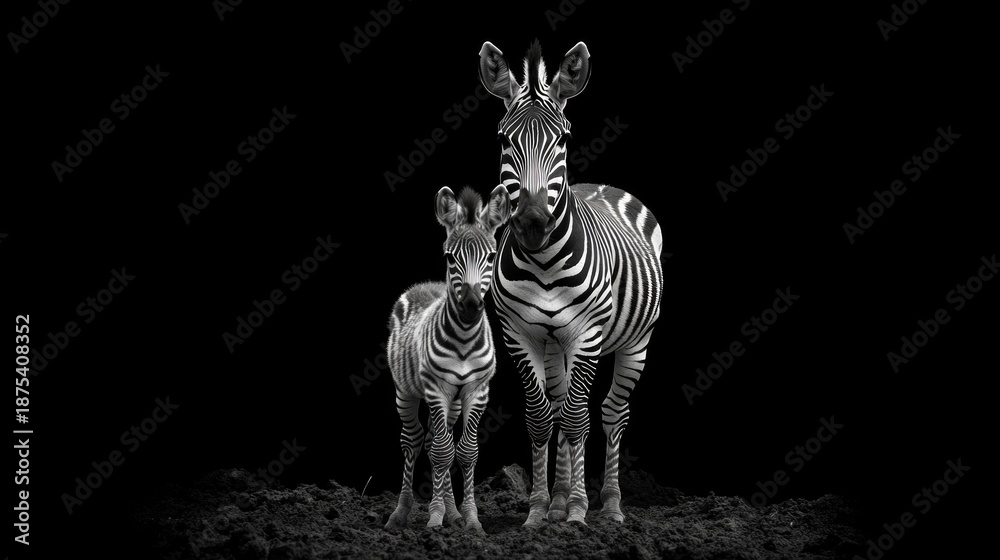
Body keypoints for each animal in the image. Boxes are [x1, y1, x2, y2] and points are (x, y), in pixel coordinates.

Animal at [384, 185, 511, 533]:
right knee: (413, 441)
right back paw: (400, 513)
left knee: (434, 442)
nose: (470, 306)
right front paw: (435, 519)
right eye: (450, 257)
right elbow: (442, 452)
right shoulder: (436, 388)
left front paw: (468, 518)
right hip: (406, 391)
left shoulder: (477, 390)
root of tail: (426, 284)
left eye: (491, 257)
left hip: (453, 401)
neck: (465, 338)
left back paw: (451, 512)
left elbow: (464, 452)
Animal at [478, 40, 664, 526]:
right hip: (553, 343)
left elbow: (580, 418)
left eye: (562, 139)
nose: (532, 223)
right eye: (503, 140)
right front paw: (540, 509)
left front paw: (580, 511)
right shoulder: (519, 334)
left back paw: (610, 505)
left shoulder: (587, 334)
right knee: (561, 405)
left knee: (612, 413)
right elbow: (543, 418)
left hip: (635, 340)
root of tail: (602, 185)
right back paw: (560, 499)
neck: (543, 262)